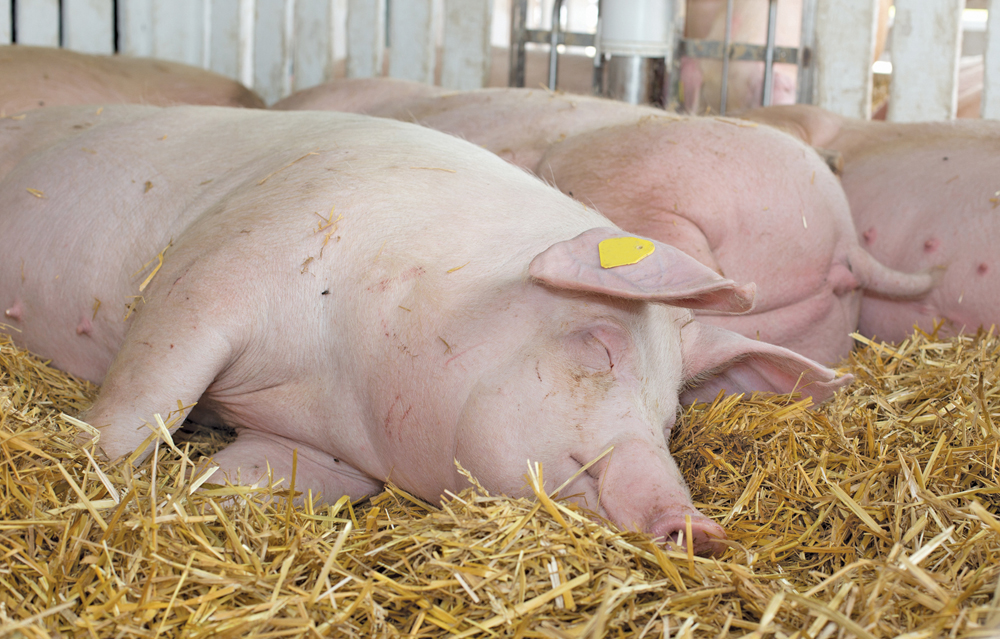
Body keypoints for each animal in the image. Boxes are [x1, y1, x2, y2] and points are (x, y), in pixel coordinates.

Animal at [0, 105, 853, 556]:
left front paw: (190, 489)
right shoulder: (216, 269)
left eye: (670, 416)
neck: (336, 383)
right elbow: (149, 398)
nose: (698, 525)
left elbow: (257, 479)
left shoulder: (326, 454)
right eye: (600, 345)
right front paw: (87, 462)